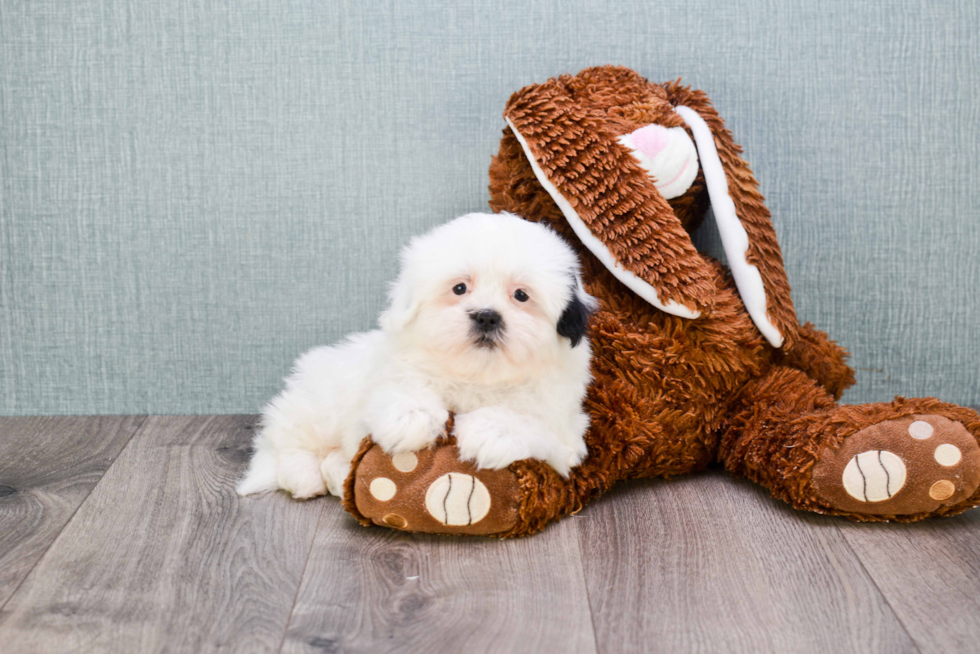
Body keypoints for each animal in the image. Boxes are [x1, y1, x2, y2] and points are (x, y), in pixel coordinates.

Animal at [239, 213, 596, 500]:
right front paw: (411, 420)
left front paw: (491, 433)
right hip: (319, 404)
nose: (486, 316)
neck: (478, 375)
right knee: (285, 438)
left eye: (521, 295)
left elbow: (530, 421)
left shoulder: (564, 426)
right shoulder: (387, 376)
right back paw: (304, 475)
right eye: (459, 288)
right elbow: (400, 392)